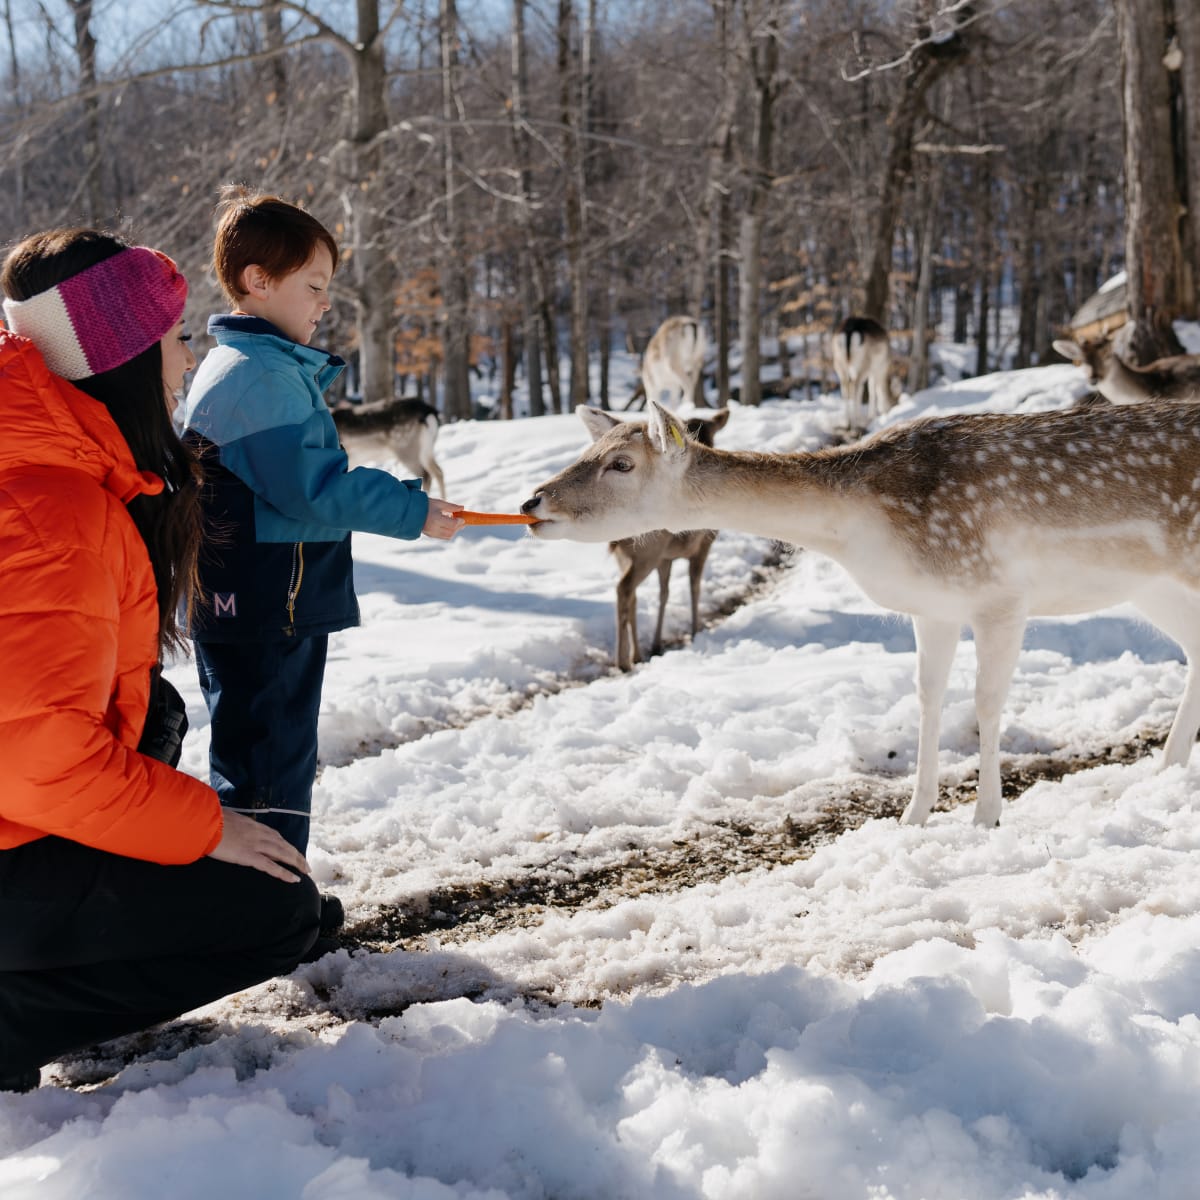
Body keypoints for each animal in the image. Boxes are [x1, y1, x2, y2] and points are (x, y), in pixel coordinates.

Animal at [607, 407, 730, 671]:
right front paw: (695, 631)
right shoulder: (704, 544)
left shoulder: (667, 557)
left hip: (629, 556)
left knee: (632, 595)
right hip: (647, 552)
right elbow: (694, 586)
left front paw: (657, 643)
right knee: (623, 589)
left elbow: (664, 593)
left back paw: (636, 654)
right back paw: (622, 660)